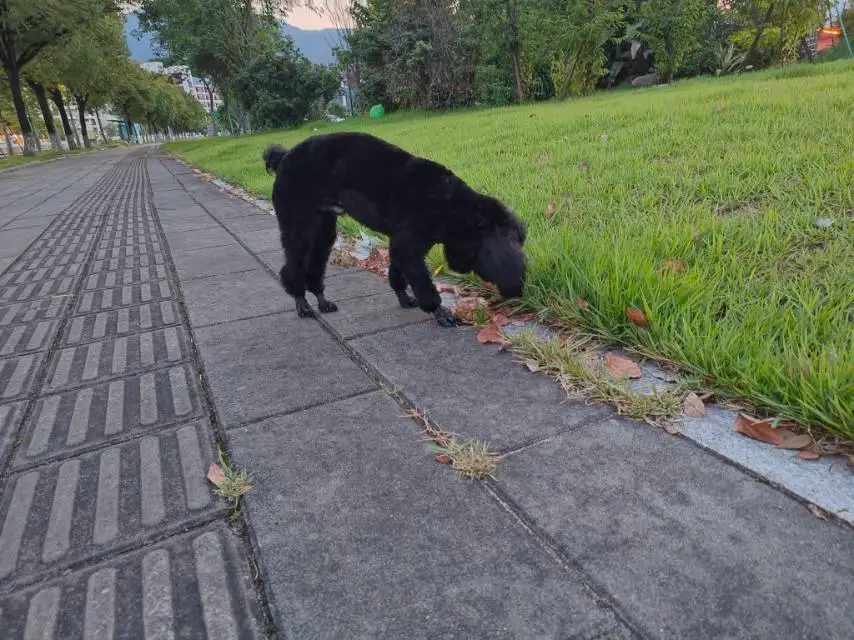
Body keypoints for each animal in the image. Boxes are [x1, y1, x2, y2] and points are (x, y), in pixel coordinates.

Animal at [264, 132, 524, 328]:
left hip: (323, 228)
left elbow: (398, 273)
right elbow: (422, 284)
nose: (516, 290)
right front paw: (439, 312)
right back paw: (301, 301)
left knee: (315, 264)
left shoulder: (402, 244)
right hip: (298, 226)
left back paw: (321, 300)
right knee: (294, 263)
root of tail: (284, 156)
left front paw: (404, 297)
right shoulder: (408, 244)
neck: (452, 206)